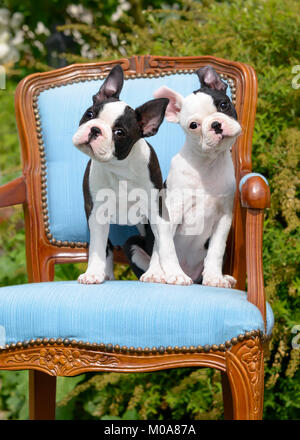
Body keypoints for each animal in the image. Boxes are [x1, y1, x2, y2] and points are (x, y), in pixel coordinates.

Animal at [72, 64, 192, 286]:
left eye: (119, 133)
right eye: (90, 113)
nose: (95, 129)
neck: (119, 168)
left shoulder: (158, 211)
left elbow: (165, 247)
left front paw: (173, 273)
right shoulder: (95, 213)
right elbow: (97, 247)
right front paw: (93, 272)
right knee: (107, 247)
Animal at [124, 63, 241, 288]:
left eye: (224, 105)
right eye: (193, 125)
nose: (215, 125)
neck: (206, 164)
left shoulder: (224, 218)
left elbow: (216, 251)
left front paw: (215, 277)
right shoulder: (170, 213)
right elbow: (162, 247)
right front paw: (158, 273)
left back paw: (221, 277)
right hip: (131, 244)